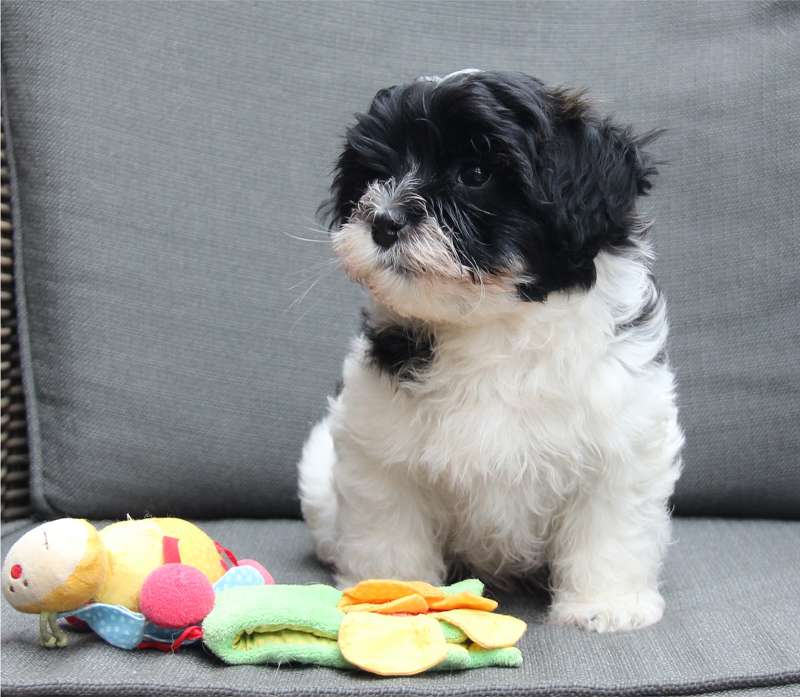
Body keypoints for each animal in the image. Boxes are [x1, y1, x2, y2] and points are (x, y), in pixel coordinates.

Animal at [298, 70, 684, 632]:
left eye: (475, 174)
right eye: (378, 174)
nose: (384, 221)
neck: (490, 324)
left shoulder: (621, 435)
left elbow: (610, 523)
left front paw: (608, 603)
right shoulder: (381, 447)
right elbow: (388, 522)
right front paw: (391, 591)